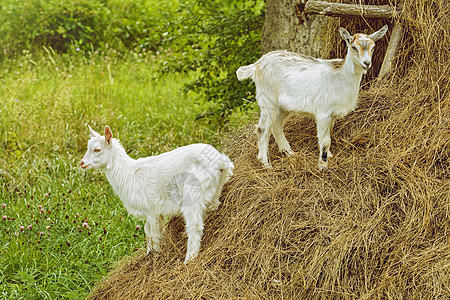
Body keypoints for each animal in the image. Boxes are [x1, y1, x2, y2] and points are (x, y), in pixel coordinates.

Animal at [80, 126, 234, 262]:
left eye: (97, 149)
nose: (82, 163)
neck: (129, 173)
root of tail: (221, 161)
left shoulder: (152, 209)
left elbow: (153, 233)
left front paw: (156, 254)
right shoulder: (150, 211)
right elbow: (147, 231)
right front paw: (149, 253)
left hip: (192, 192)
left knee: (195, 225)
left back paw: (189, 259)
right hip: (215, 188)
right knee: (211, 208)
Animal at [237, 24, 388, 170]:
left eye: (373, 47)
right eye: (354, 47)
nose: (367, 63)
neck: (340, 77)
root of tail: (256, 65)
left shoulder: (332, 115)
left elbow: (328, 135)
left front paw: (329, 156)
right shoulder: (323, 113)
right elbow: (325, 140)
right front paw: (323, 166)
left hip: (282, 107)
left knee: (276, 125)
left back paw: (289, 152)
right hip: (268, 100)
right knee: (262, 129)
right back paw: (267, 164)